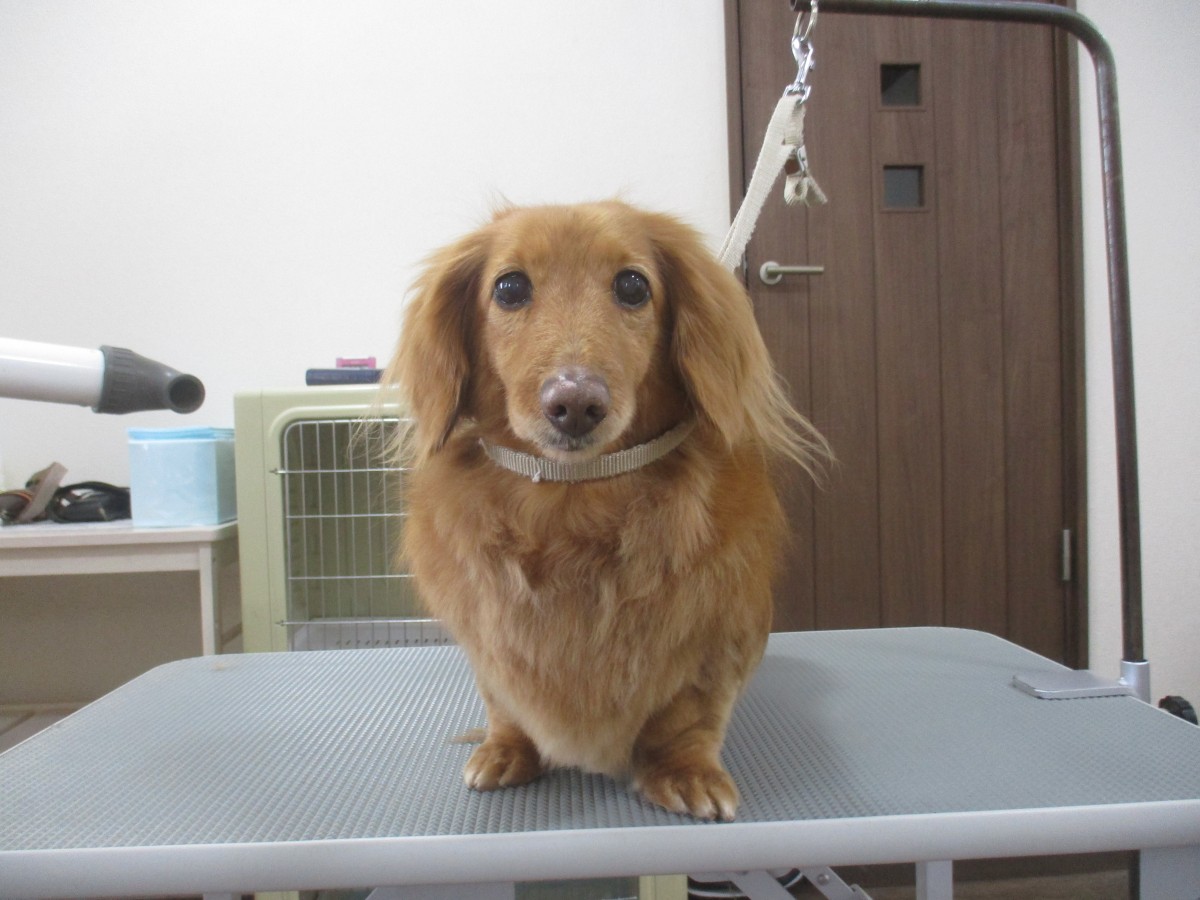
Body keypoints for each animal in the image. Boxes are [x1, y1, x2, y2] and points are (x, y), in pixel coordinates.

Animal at [385, 201, 826, 821]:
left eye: (633, 285)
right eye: (510, 287)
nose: (575, 403)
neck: (575, 495)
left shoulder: (721, 632)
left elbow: (691, 712)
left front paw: (685, 770)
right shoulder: (488, 641)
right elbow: (502, 700)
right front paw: (505, 748)